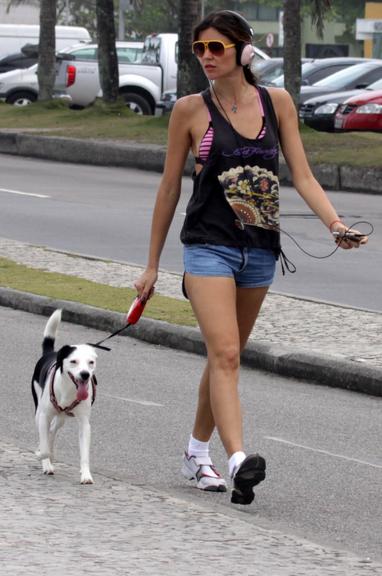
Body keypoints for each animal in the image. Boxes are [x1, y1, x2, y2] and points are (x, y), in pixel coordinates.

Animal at [31, 310, 97, 482]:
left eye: (91, 362)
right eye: (74, 361)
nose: (85, 374)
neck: (69, 389)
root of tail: (51, 353)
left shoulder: (84, 423)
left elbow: (85, 453)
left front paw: (86, 475)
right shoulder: (44, 416)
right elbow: (44, 447)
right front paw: (41, 457)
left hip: (61, 417)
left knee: (53, 430)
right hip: (39, 412)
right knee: (45, 432)